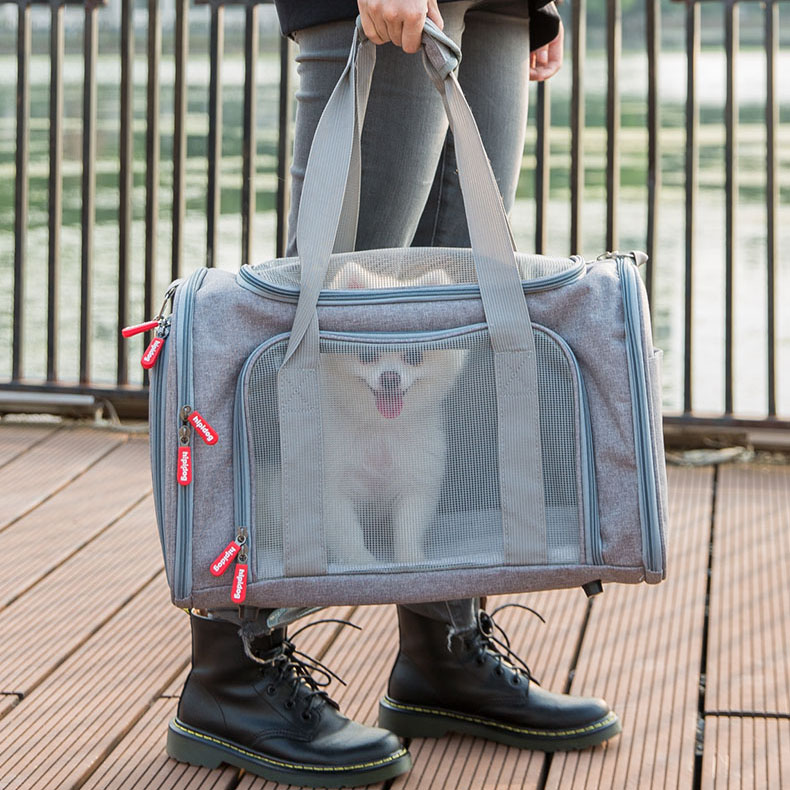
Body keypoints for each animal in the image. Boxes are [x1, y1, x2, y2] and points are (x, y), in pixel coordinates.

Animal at [320, 264, 470, 568]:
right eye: (367, 355)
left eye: (414, 357)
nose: (390, 377)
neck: (380, 429)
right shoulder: (333, 488)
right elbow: (348, 534)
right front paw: (363, 565)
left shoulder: (415, 479)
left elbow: (408, 527)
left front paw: (410, 560)